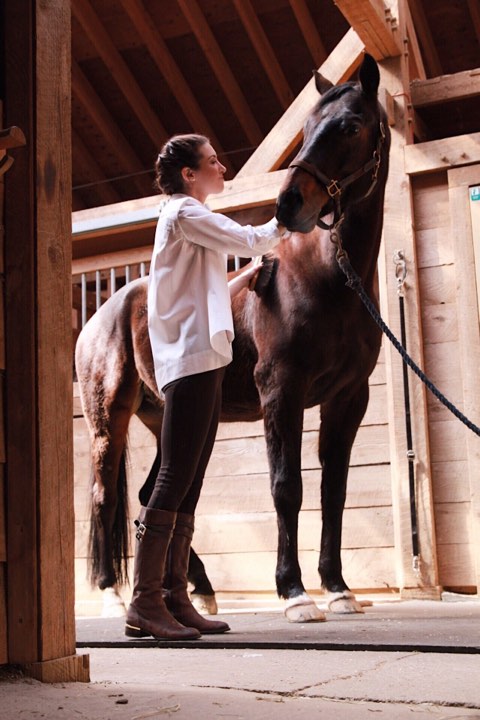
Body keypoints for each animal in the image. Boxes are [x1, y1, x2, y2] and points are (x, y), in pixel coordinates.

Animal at [75, 53, 390, 620]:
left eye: (351, 126)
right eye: (307, 128)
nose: (289, 204)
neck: (327, 278)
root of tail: (100, 315)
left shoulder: (348, 399)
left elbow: (334, 490)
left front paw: (337, 587)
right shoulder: (281, 392)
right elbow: (287, 488)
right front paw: (293, 592)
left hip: (168, 418)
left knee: (153, 492)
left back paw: (198, 587)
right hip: (109, 423)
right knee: (105, 496)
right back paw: (112, 592)